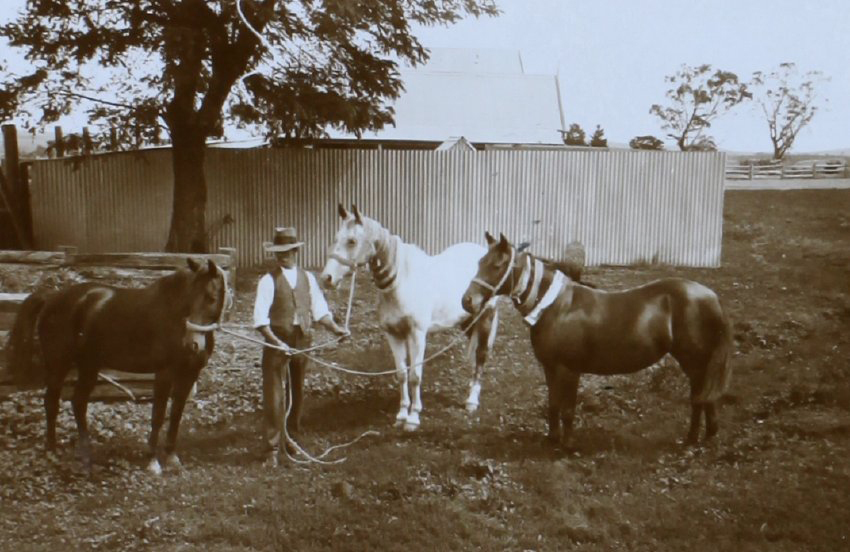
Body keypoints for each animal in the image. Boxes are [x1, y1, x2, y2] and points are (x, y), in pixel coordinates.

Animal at [6, 258, 230, 474]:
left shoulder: (189, 373)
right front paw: (152, 460)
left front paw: (172, 457)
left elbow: (176, 414)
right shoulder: (164, 373)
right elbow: (157, 416)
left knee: (78, 403)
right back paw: (52, 449)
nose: (193, 344)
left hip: (89, 366)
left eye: (211, 298)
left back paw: (86, 452)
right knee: (52, 403)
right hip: (58, 365)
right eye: (190, 298)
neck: (173, 317)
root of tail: (52, 296)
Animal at [320, 204, 499, 431]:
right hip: (467, 321)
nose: (326, 278)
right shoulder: (394, 335)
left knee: (481, 355)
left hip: (486, 318)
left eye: (351, 241)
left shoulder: (417, 335)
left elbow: (415, 376)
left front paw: (414, 418)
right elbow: (402, 374)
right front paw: (401, 415)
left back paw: (472, 401)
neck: (401, 281)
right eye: (336, 238)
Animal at [462, 232, 732, 447]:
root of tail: (712, 297)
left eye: (498, 265)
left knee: (698, 399)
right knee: (705, 398)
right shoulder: (550, 368)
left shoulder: (569, 370)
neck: (556, 307)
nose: (467, 301)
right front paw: (552, 439)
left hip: (695, 364)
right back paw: (708, 435)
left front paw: (567, 445)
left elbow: (568, 409)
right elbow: (553, 404)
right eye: (480, 262)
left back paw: (692, 439)